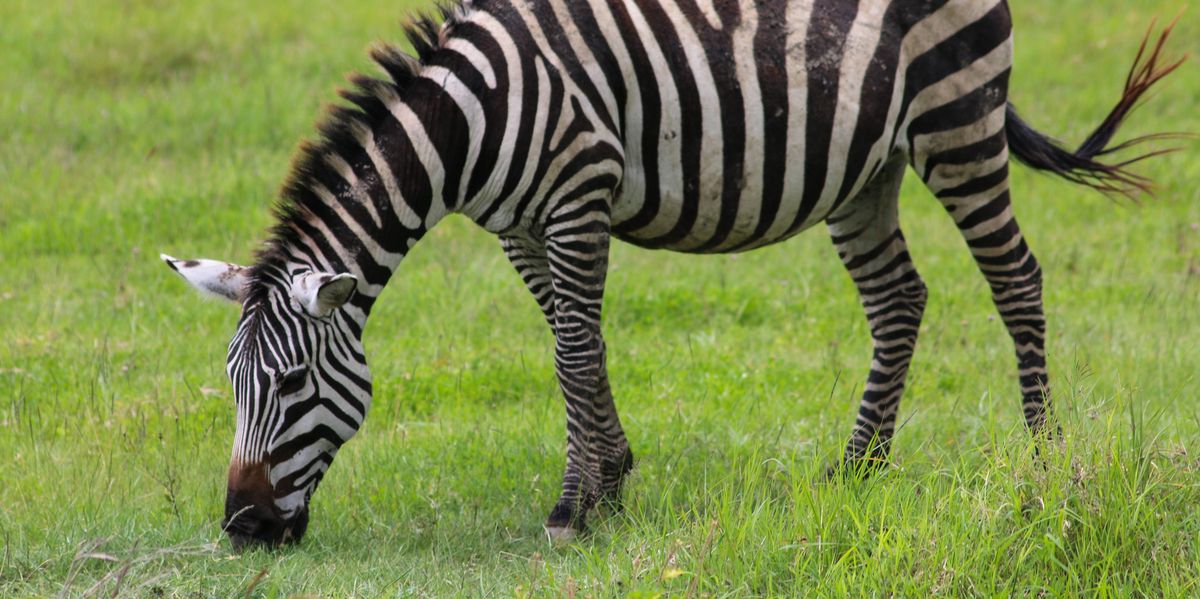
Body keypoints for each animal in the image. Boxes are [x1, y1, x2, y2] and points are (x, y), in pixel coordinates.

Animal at [162, 0, 1181, 547]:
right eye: (231, 385)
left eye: (294, 384)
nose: (242, 527)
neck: (475, 120)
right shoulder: (520, 227)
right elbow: (574, 342)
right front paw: (612, 479)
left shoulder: (577, 193)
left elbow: (574, 351)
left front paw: (576, 505)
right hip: (868, 167)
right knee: (900, 299)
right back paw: (858, 469)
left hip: (957, 118)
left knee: (1016, 279)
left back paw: (1044, 462)